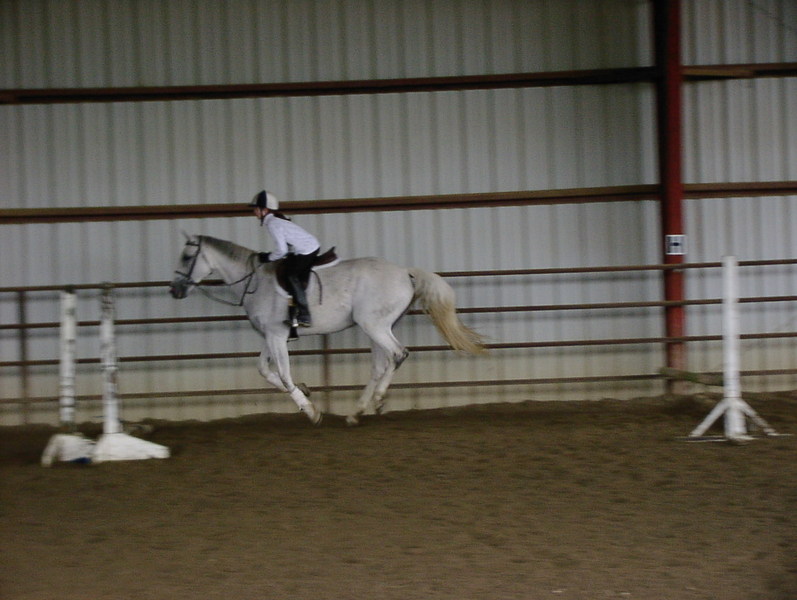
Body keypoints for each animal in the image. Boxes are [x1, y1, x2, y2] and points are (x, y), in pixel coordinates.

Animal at [169, 235, 485, 425]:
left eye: (186, 257)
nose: (174, 290)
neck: (255, 282)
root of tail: (405, 272)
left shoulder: (276, 336)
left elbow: (283, 375)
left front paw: (311, 410)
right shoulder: (271, 336)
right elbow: (265, 371)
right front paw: (306, 391)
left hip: (374, 325)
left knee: (398, 354)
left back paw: (377, 401)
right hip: (378, 327)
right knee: (380, 365)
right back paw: (357, 413)